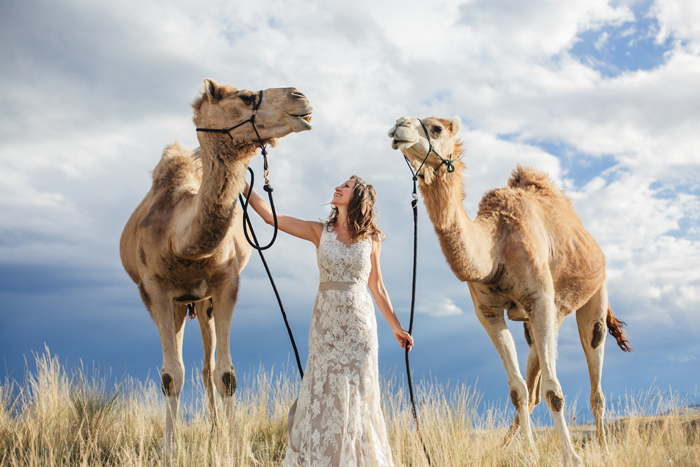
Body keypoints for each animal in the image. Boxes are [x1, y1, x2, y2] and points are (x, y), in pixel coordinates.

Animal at [120, 79, 312, 446]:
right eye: (247, 96)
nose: (301, 96)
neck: (180, 239)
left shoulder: (226, 282)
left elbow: (226, 374)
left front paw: (237, 446)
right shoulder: (152, 288)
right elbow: (170, 375)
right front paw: (168, 448)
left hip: (202, 301)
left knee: (207, 368)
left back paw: (215, 430)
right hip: (179, 303)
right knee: (184, 366)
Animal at [386, 116, 632, 467]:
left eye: (436, 128)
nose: (399, 125)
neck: (495, 247)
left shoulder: (540, 299)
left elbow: (554, 390)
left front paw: (571, 456)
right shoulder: (488, 311)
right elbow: (518, 389)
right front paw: (528, 453)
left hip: (594, 296)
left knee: (594, 378)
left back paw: (606, 450)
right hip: (542, 319)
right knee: (532, 388)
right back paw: (506, 445)